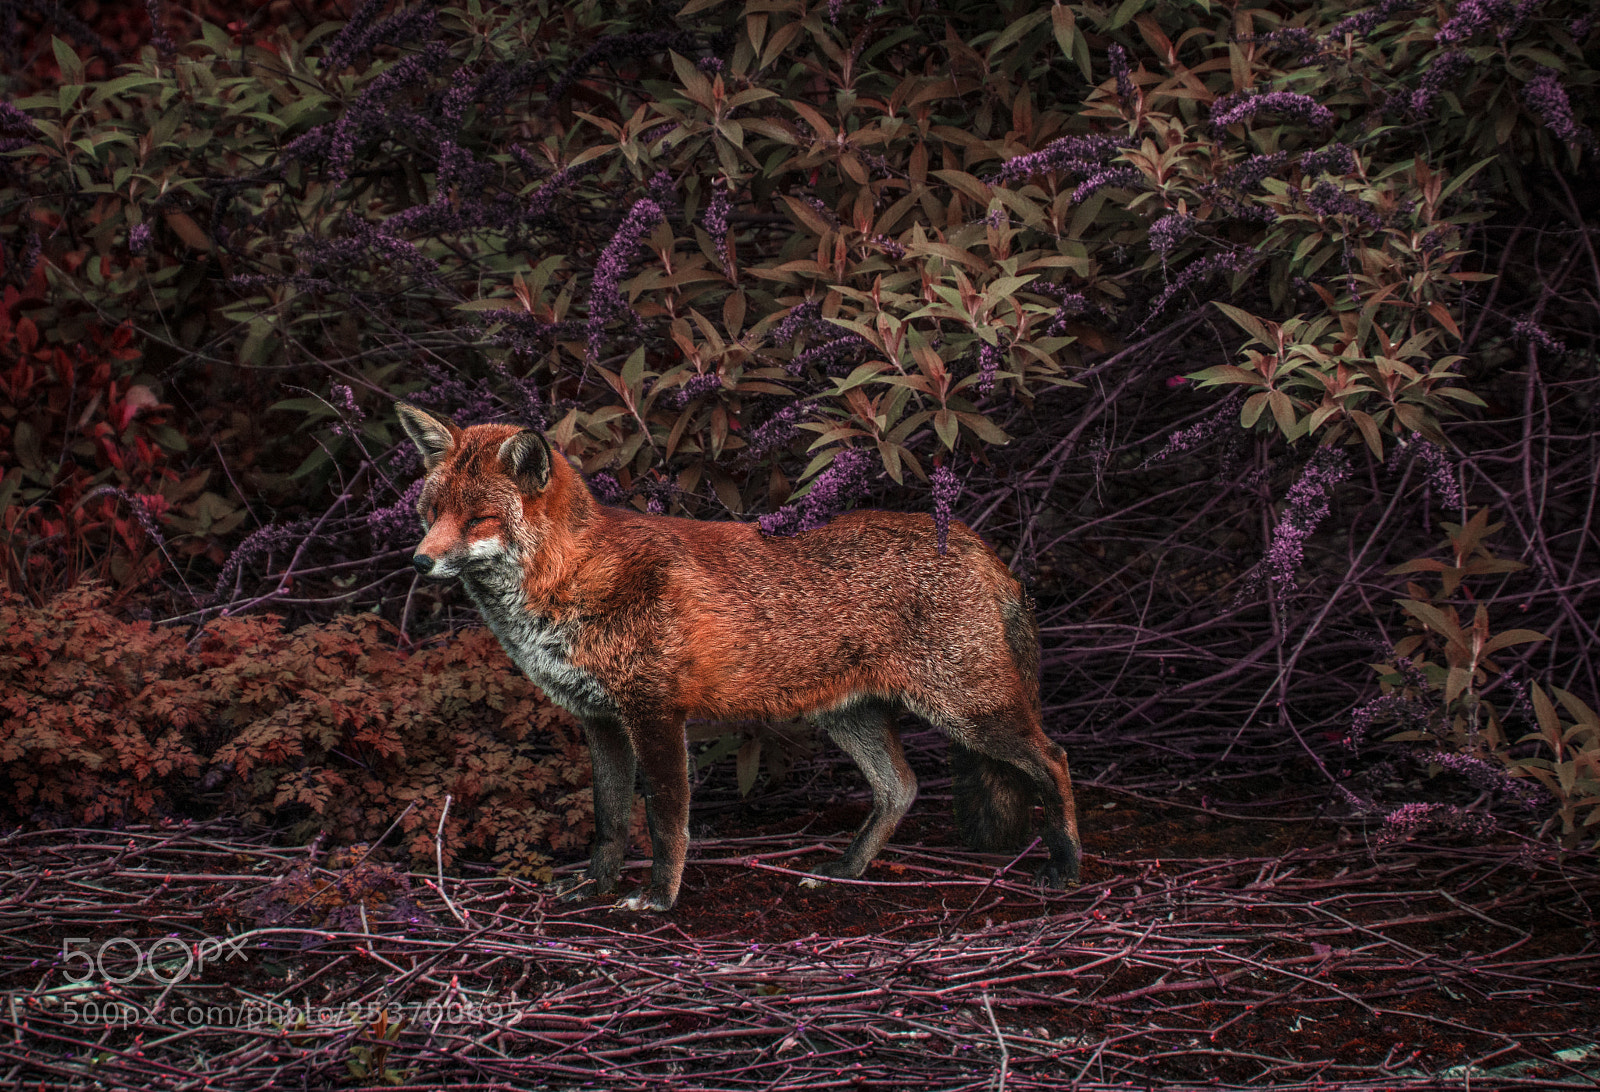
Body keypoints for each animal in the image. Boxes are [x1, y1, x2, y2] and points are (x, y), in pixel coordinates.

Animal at [396, 402, 1080, 911]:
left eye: (480, 519)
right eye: (431, 513)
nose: (420, 562)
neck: (571, 578)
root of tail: (973, 543)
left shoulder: (654, 713)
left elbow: (665, 818)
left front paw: (658, 898)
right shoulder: (599, 720)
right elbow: (609, 819)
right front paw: (595, 886)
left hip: (970, 712)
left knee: (1054, 757)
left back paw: (1066, 865)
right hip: (849, 716)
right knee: (901, 788)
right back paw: (847, 870)